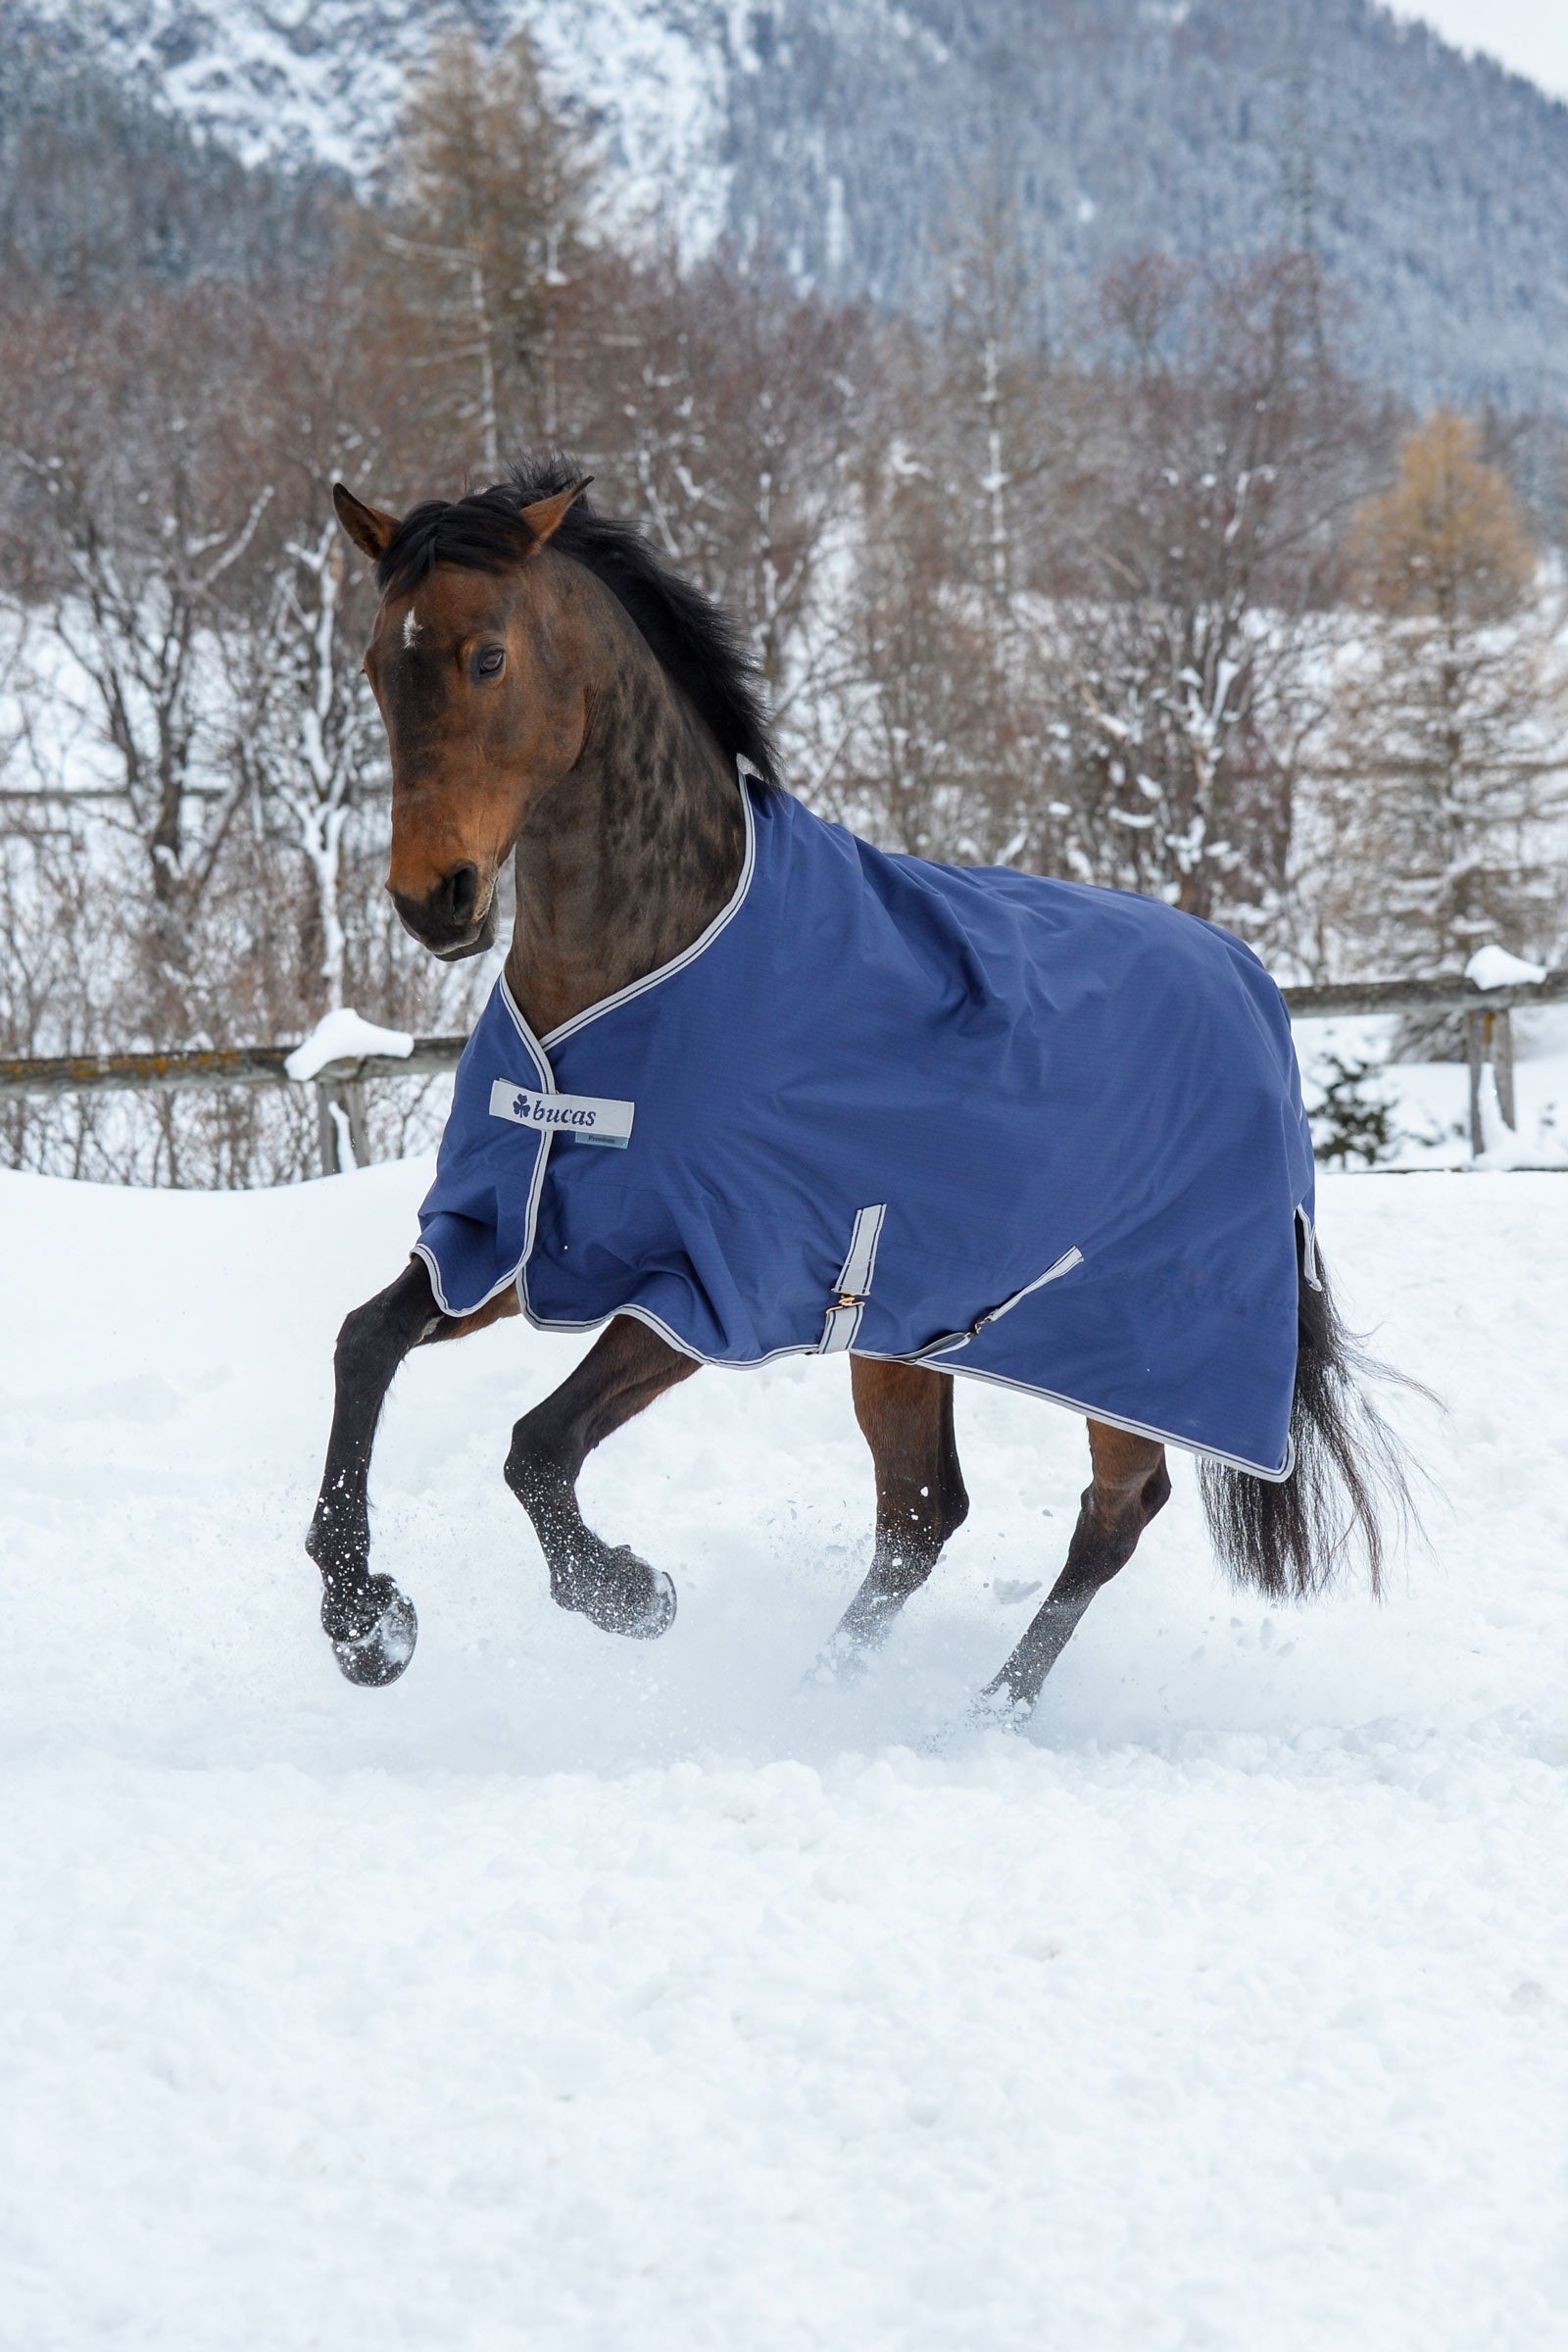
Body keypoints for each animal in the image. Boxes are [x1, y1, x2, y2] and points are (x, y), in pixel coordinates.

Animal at [307, 459, 1408, 1711]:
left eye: (486, 655)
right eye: (375, 663)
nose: (431, 899)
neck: (631, 979)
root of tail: (1251, 986)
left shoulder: (708, 1287)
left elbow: (536, 1447)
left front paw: (630, 1594)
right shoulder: (513, 1238)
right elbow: (363, 1343)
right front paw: (365, 1624)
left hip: (1136, 1347)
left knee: (1115, 1510)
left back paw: (984, 1714)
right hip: (908, 1334)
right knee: (921, 1517)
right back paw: (822, 1695)